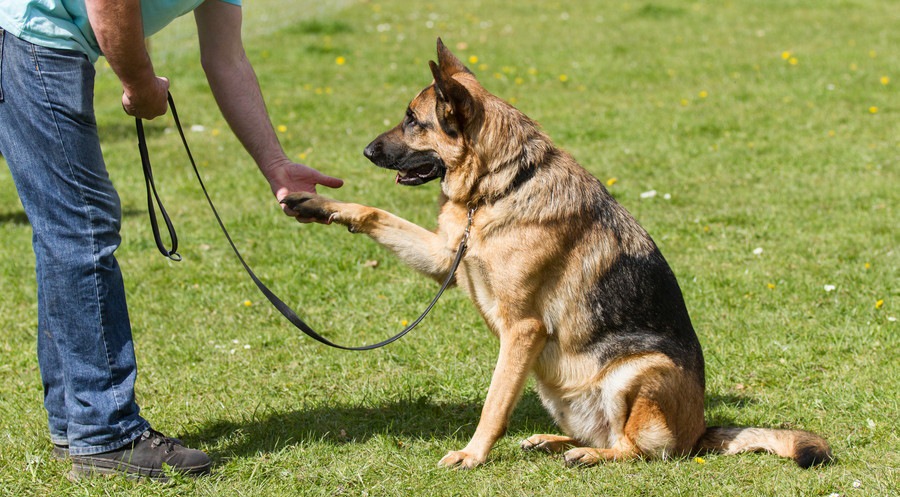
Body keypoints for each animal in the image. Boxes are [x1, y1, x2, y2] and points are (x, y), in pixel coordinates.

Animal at [284, 38, 832, 468]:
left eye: (412, 121)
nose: (366, 152)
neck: (499, 186)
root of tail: (700, 431)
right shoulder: (447, 259)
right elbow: (375, 214)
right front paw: (318, 204)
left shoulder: (522, 330)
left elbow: (494, 403)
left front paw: (472, 454)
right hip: (555, 386)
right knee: (603, 432)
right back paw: (553, 442)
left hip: (637, 371)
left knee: (638, 449)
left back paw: (589, 455)